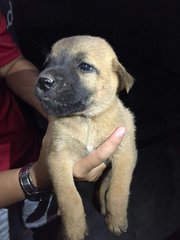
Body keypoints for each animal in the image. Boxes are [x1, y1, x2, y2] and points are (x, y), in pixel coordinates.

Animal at [34, 35, 136, 240]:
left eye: (85, 66)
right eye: (48, 62)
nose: (42, 81)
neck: (87, 120)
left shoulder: (125, 153)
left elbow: (118, 191)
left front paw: (116, 219)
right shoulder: (58, 158)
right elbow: (70, 199)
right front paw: (74, 229)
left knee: (105, 186)